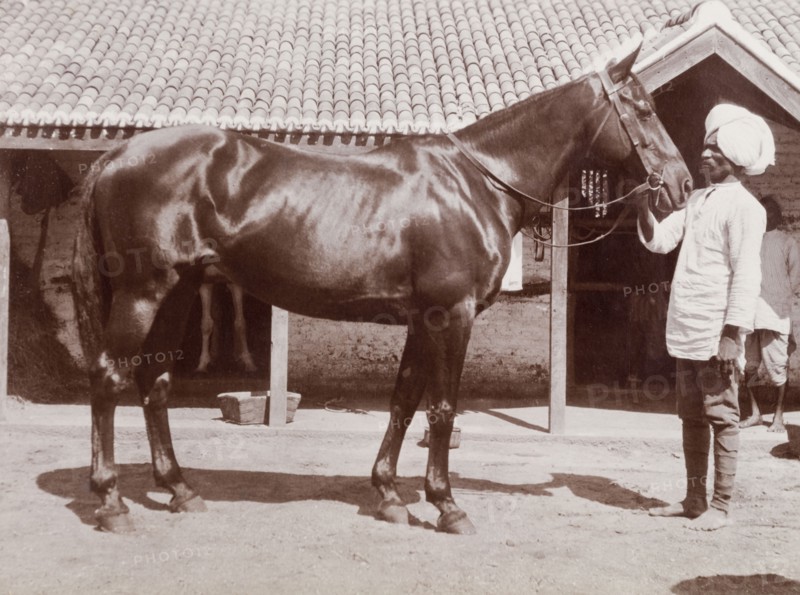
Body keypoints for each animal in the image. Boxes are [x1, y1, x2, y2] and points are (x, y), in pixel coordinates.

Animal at [72, 45, 692, 534]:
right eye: (642, 108)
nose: (682, 184)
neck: (474, 184)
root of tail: (118, 155)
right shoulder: (452, 315)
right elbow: (442, 408)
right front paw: (447, 506)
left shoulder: (422, 319)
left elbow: (403, 401)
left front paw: (390, 495)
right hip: (142, 294)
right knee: (108, 380)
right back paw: (110, 502)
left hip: (176, 294)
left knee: (154, 384)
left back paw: (179, 489)